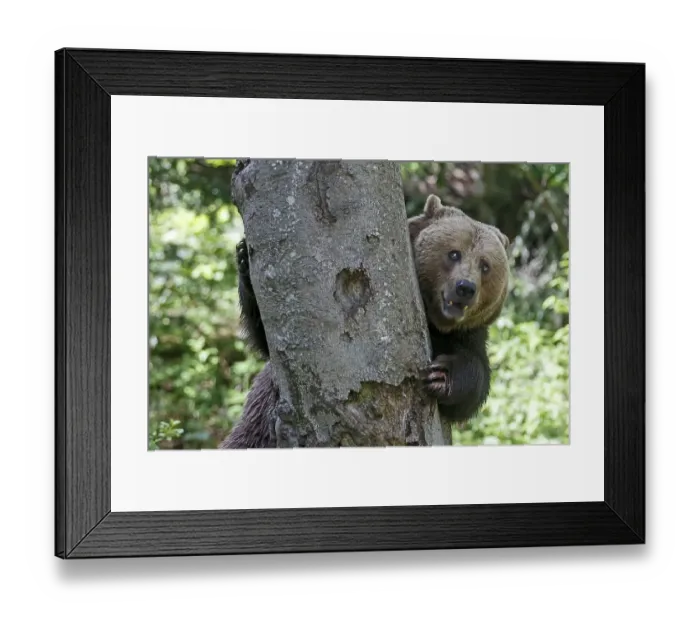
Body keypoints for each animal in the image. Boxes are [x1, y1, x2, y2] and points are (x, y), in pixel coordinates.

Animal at [219, 194, 510, 449]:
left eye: (485, 265)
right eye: (454, 253)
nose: (465, 288)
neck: (433, 319)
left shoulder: (467, 334)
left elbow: (474, 376)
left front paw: (441, 375)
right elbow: (266, 340)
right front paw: (244, 257)